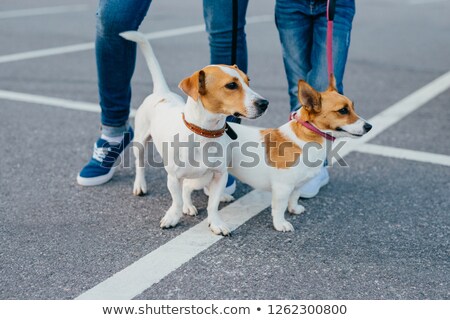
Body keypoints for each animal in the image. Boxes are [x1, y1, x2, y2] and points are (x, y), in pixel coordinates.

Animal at [119, 31, 268, 235]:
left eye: (248, 81)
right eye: (231, 85)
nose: (264, 103)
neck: (205, 133)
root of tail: (162, 92)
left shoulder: (219, 175)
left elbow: (212, 204)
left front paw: (216, 222)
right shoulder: (173, 177)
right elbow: (176, 200)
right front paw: (173, 217)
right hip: (141, 141)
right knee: (140, 163)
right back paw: (140, 185)